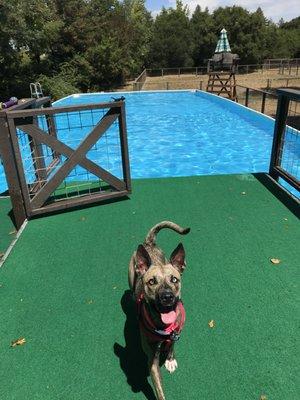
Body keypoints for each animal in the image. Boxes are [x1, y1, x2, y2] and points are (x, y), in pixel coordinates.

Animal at [128, 222, 190, 400]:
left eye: (174, 279)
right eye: (151, 282)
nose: (167, 297)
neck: (164, 326)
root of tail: (148, 243)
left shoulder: (176, 333)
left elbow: (172, 345)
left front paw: (170, 359)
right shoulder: (152, 359)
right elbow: (159, 390)